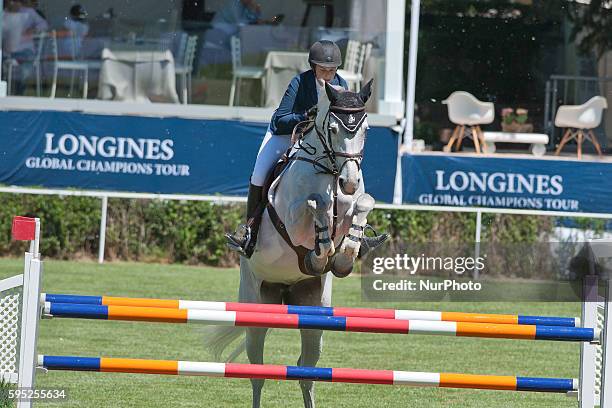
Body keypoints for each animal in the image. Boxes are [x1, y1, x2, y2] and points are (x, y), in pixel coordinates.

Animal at [208, 80, 376, 408]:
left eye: (365, 129)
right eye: (333, 128)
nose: (349, 182)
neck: (329, 171)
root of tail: (284, 290)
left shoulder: (352, 203)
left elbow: (363, 203)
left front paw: (345, 255)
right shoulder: (291, 218)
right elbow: (314, 205)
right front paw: (321, 248)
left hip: (313, 312)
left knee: (306, 373)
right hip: (257, 303)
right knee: (258, 371)